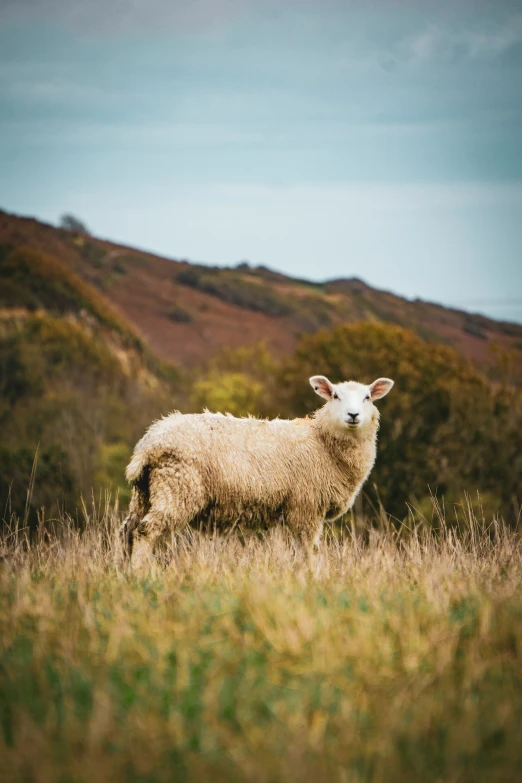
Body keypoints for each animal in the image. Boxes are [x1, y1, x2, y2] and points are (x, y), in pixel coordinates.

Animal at [119, 376, 390, 568]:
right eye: (335, 395)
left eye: (367, 397)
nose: (353, 415)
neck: (322, 442)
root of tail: (149, 442)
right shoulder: (306, 507)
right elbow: (309, 550)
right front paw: (312, 579)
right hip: (177, 486)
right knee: (145, 531)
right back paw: (141, 574)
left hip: (144, 492)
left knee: (128, 530)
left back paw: (124, 571)